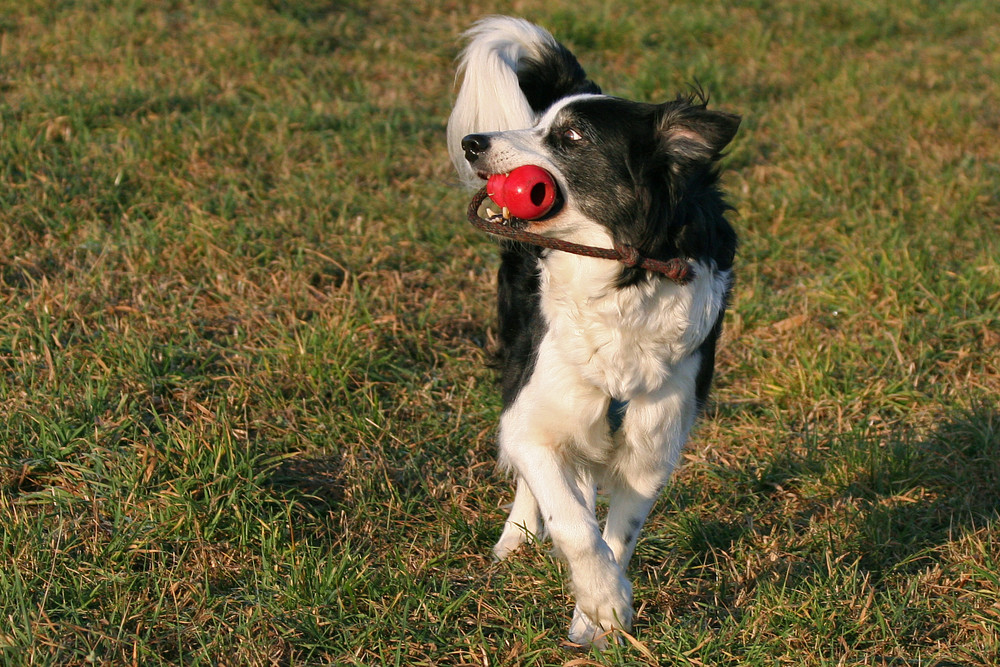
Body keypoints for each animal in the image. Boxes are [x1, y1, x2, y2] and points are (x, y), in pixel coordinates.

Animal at [450, 18, 740, 648]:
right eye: (539, 122)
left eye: (572, 137)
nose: (474, 144)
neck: (618, 278)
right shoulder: (535, 410)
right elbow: (572, 520)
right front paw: (603, 601)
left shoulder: (652, 444)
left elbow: (617, 535)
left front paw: (597, 619)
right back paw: (515, 539)